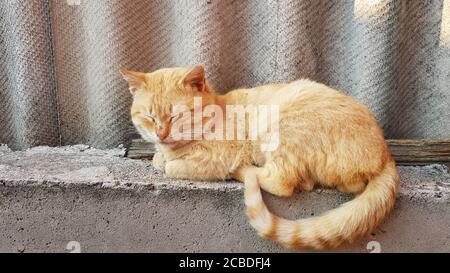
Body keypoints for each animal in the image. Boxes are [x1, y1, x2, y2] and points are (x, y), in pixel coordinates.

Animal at [121, 65, 400, 249]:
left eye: (176, 116)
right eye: (149, 117)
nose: (161, 133)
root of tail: (386, 154)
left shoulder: (220, 157)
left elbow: (172, 167)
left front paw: (168, 161)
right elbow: (159, 159)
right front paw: (160, 155)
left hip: (281, 126)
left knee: (283, 182)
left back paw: (243, 172)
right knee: (317, 182)